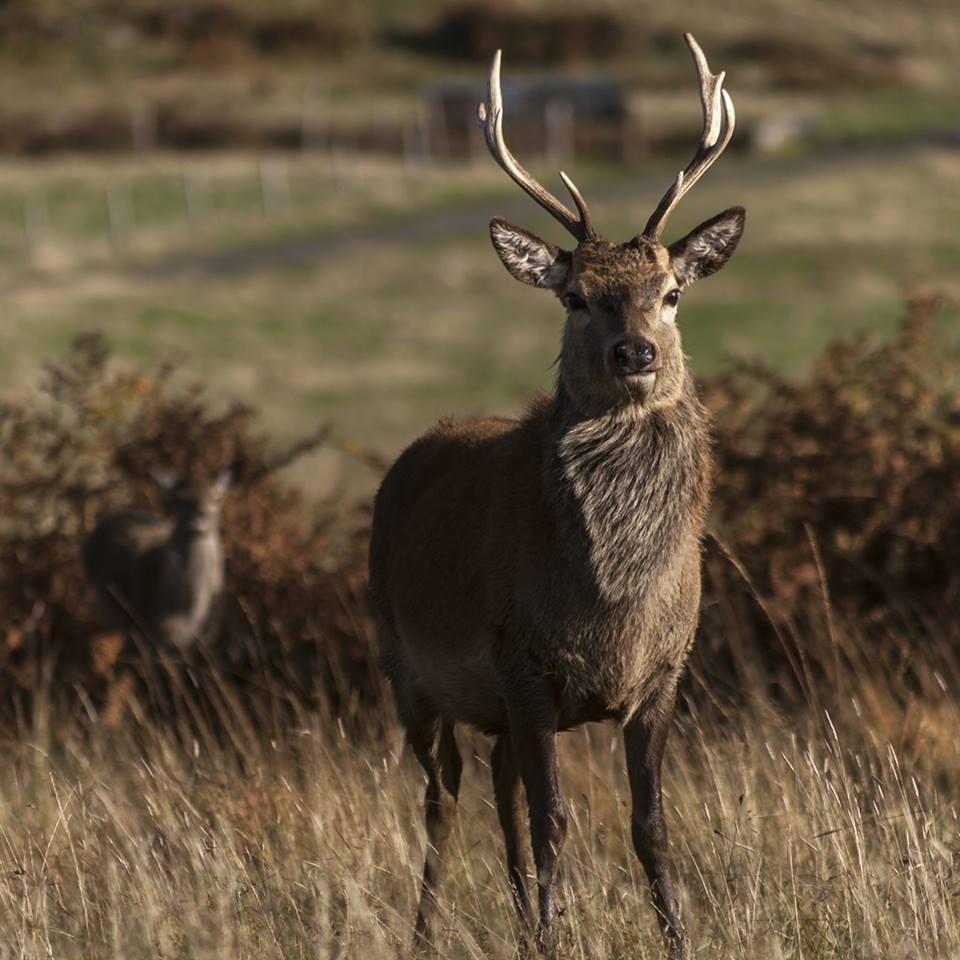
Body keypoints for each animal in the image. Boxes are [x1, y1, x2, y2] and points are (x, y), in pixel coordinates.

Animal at [82, 468, 233, 656]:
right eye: (178, 500)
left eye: (216, 497)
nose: (199, 519)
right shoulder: (145, 629)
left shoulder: (202, 638)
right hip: (111, 608)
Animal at [369, 34, 744, 957]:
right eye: (576, 296)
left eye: (671, 292)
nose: (636, 353)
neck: (612, 607)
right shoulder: (524, 662)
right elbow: (555, 821)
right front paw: (554, 929)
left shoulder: (664, 674)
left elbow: (649, 825)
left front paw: (673, 935)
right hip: (404, 665)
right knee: (443, 797)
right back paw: (426, 932)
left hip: (490, 705)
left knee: (497, 787)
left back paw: (518, 922)